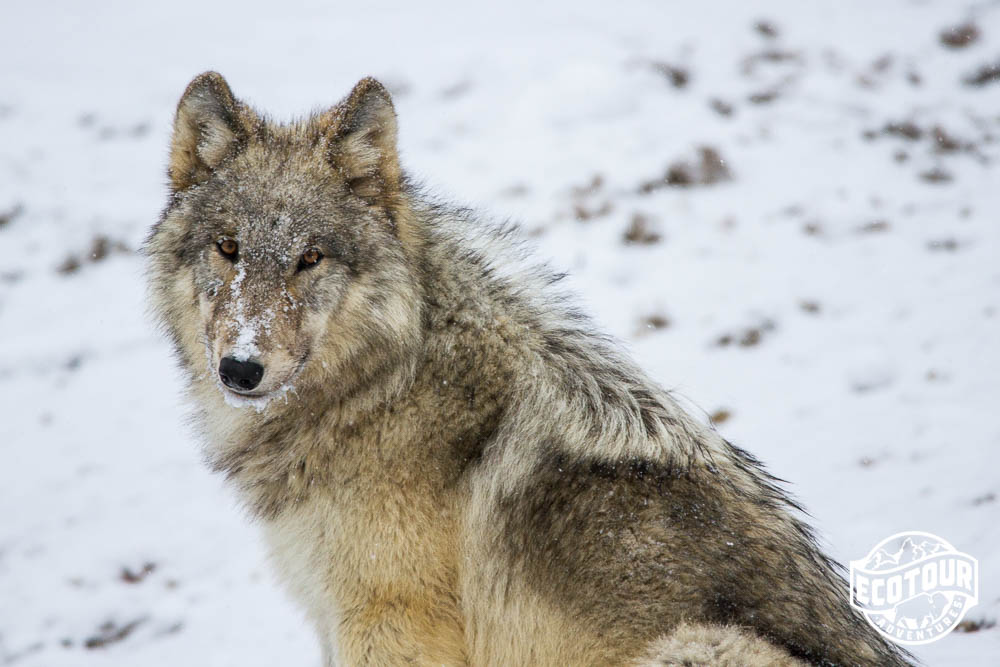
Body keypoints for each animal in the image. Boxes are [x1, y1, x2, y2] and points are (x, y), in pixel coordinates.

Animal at [143, 70, 916, 664]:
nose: (242, 368)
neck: (381, 384)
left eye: (310, 258)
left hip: (695, 643)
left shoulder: (391, 623)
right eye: (228, 248)